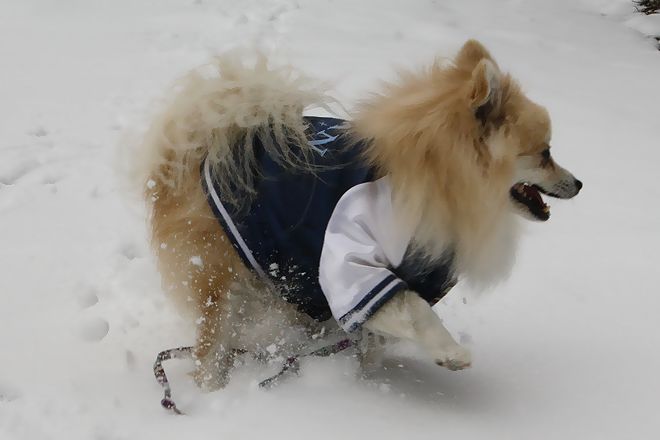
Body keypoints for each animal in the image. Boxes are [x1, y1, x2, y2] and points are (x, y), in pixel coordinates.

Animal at [138, 40, 582, 390]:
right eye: (545, 154)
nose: (578, 183)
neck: (440, 177)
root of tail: (189, 159)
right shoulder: (355, 256)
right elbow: (414, 310)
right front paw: (450, 352)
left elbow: (377, 331)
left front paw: (366, 373)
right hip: (219, 280)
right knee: (209, 350)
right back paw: (213, 389)